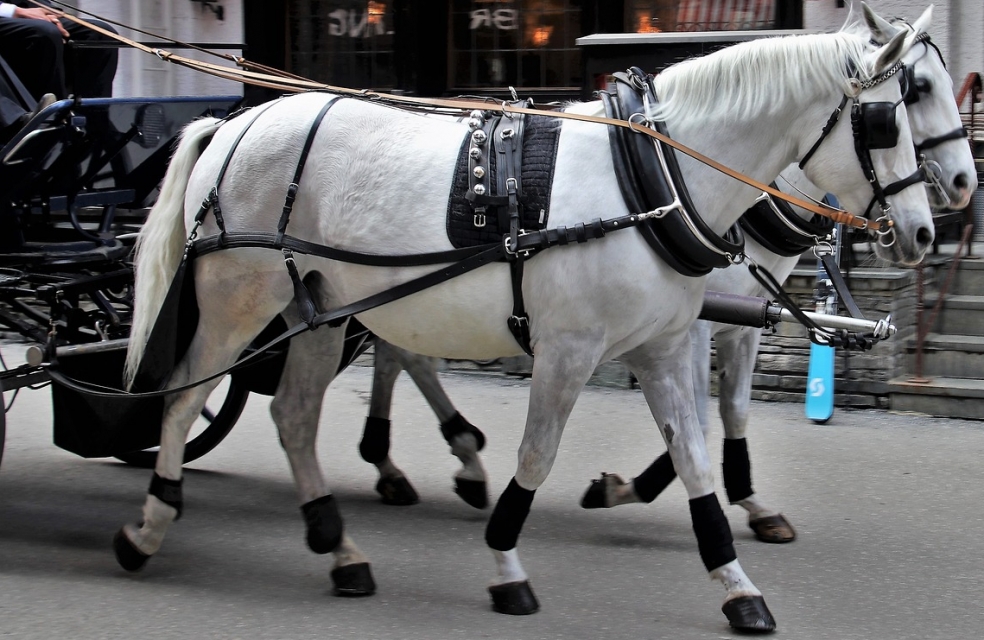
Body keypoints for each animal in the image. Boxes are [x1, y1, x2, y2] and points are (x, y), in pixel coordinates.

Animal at [115, 17, 932, 632]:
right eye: (889, 114)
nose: (927, 230)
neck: (649, 178)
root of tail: (235, 123)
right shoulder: (569, 350)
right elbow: (537, 458)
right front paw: (507, 564)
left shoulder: (665, 345)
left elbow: (697, 455)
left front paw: (737, 585)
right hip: (237, 304)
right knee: (183, 400)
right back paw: (149, 526)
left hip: (316, 309)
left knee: (293, 414)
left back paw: (340, 545)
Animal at [576, 3, 976, 544]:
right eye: (918, 88)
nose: (964, 183)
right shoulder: (693, 324)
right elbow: (697, 418)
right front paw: (630, 488)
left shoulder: (745, 318)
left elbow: (734, 409)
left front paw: (751, 503)